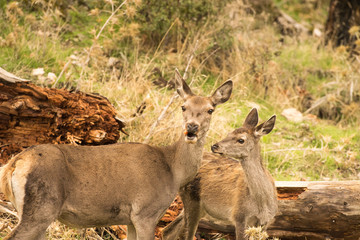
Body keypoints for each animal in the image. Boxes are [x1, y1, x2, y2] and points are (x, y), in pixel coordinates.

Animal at [0, 70, 233, 240]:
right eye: (183, 107)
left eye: (210, 109)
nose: (192, 128)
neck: (173, 171)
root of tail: (13, 164)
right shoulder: (145, 212)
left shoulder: (130, 219)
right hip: (41, 208)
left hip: (27, 209)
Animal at [162, 108, 278, 240]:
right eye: (229, 133)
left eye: (241, 140)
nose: (214, 146)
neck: (262, 203)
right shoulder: (239, 216)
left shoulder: (265, 222)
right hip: (191, 199)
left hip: (199, 207)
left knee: (169, 230)